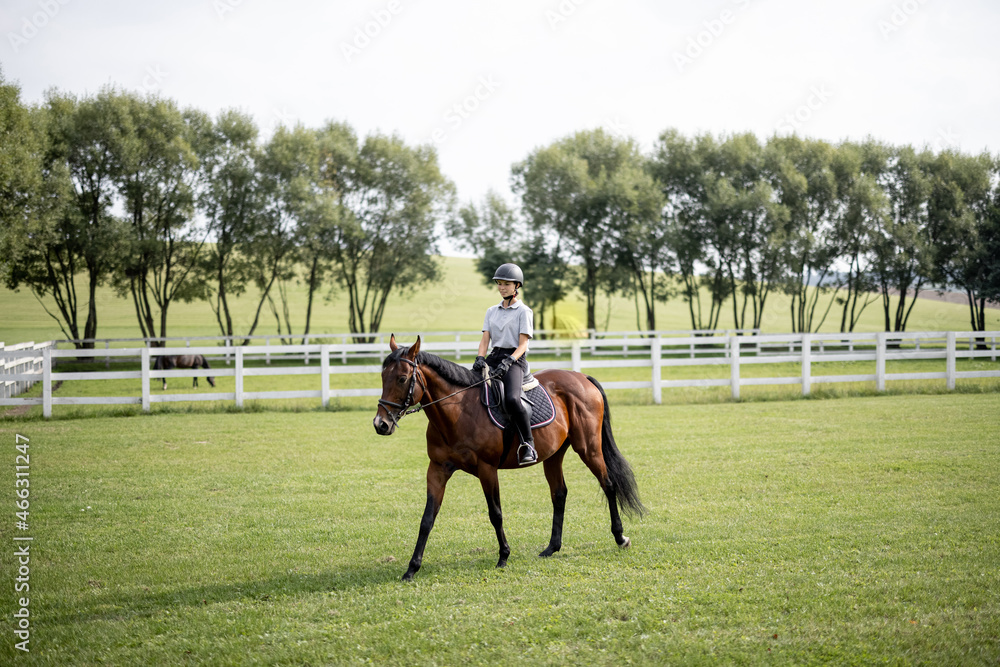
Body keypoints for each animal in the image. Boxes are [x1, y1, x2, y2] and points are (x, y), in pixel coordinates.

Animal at [372, 336, 644, 580]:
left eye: (402, 378)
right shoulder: (437, 469)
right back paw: (551, 547)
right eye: (383, 378)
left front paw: (503, 556)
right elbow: (427, 518)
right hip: (554, 455)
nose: (380, 424)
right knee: (559, 494)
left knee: (608, 485)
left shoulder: (487, 469)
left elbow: (495, 513)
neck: (458, 412)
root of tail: (581, 377)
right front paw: (412, 568)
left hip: (588, 448)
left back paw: (620, 537)